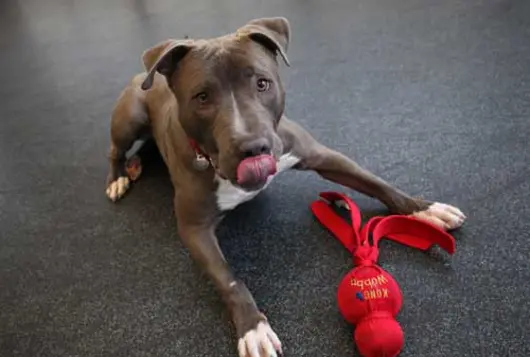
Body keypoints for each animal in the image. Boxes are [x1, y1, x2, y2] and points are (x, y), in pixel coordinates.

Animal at [104, 17, 466, 356]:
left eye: (262, 83)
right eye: (202, 97)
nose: (252, 147)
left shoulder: (322, 155)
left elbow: (375, 183)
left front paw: (423, 210)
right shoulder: (194, 229)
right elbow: (229, 279)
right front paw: (253, 328)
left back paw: (136, 165)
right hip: (129, 118)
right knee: (116, 150)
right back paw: (119, 176)